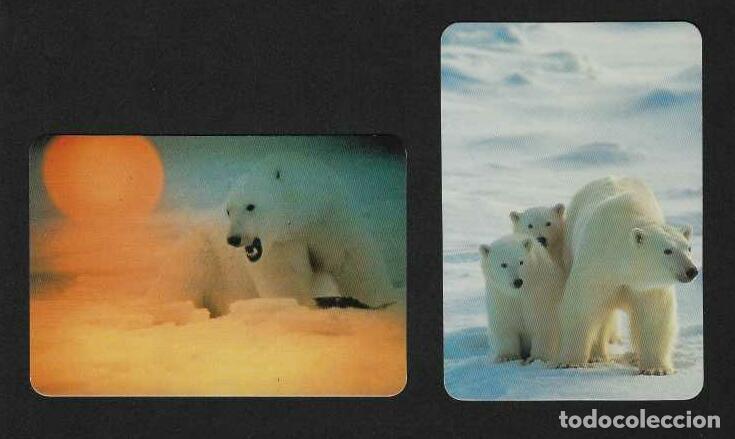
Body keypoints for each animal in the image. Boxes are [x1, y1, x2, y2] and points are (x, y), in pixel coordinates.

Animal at [480, 234, 566, 363]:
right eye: (504, 264)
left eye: (521, 262)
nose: (518, 281)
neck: (520, 293)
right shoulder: (501, 296)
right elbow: (505, 325)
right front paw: (507, 356)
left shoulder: (540, 295)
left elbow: (543, 324)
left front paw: (537, 358)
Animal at [557, 176, 697, 375]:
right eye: (667, 250)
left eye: (688, 248)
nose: (692, 270)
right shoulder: (597, 267)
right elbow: (582, 308)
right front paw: (571, 362)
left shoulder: (648, 286)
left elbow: (654, 316)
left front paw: (656, 368)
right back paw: (598, 355)